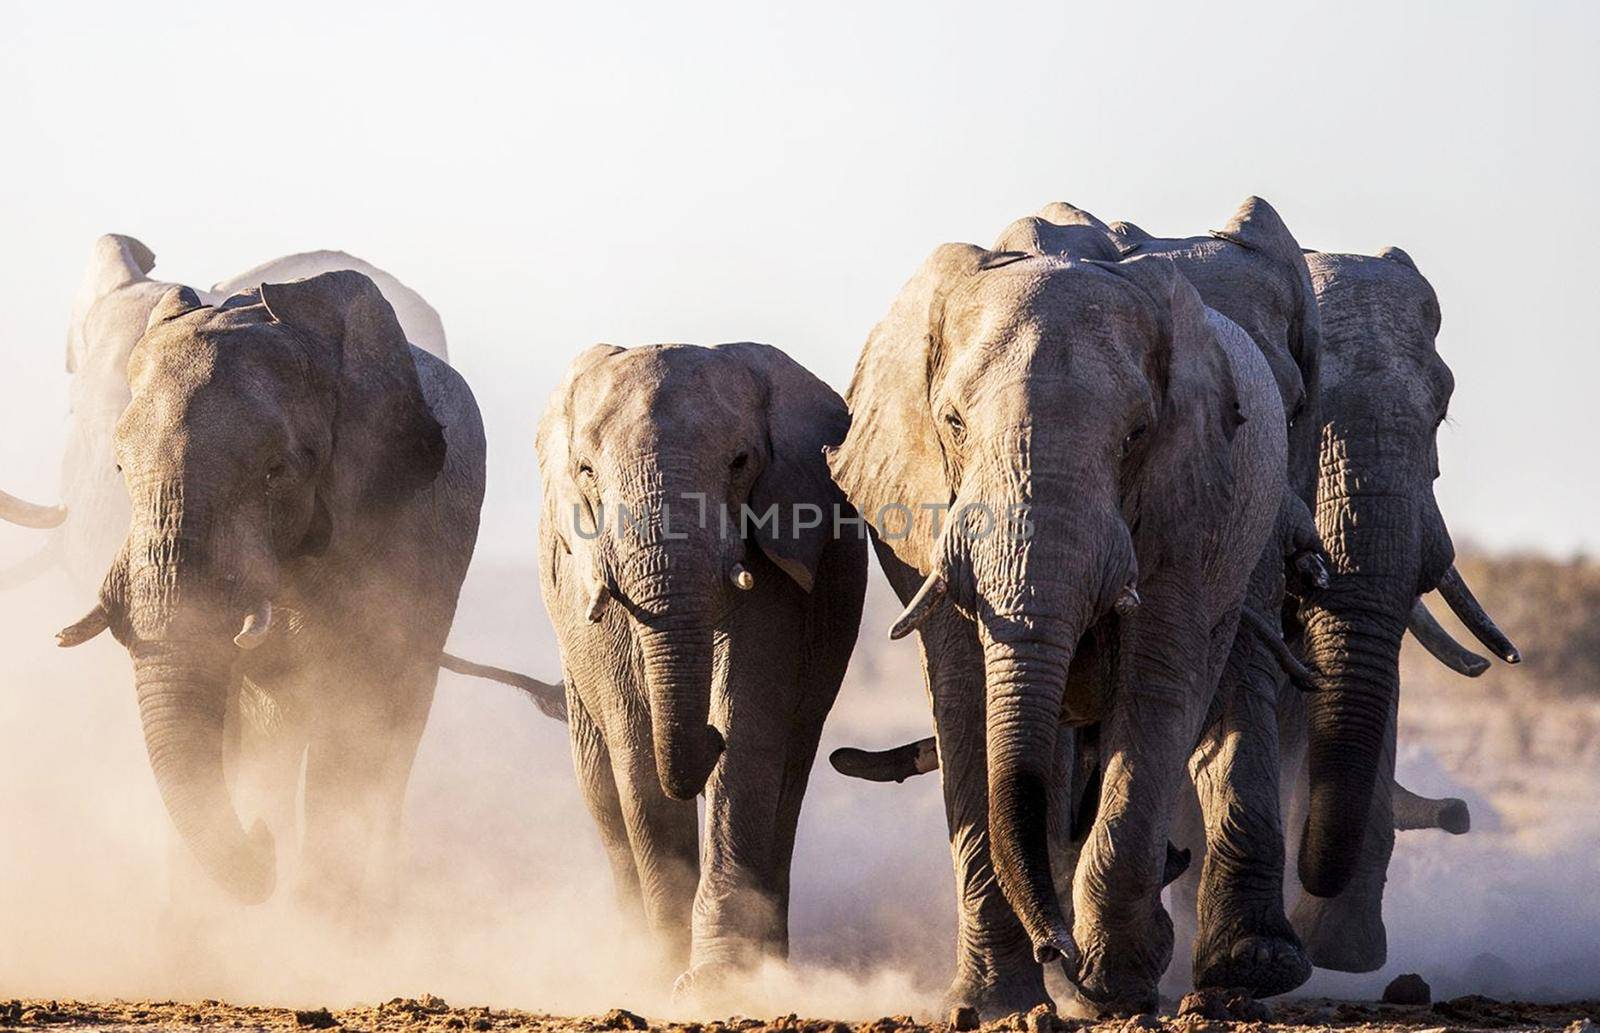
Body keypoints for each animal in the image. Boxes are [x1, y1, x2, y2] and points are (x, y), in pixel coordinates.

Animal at [53, 268, 489, 914]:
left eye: (274, 471)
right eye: (121, 470)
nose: (261, 844)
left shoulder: (394, 526)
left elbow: (352, 714)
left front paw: (322, 920)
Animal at [534, 340, 864, 997]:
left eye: (740, 462)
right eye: (586, 472)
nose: (702, 735)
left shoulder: (779, 542)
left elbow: (749, 727)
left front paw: (718, 981)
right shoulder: (594, 568)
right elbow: (636, 743)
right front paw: (663, 972)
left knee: (790, 770)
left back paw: (773, 965)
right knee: (599, 787)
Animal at [825, 236, 1286, 1017]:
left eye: (1136, 434)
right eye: (952, 423)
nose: (1057, 951)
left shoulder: (1186, 504)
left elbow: (1156, 687)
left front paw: (1117, 988)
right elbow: (962, 699)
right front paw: (992, 1006)